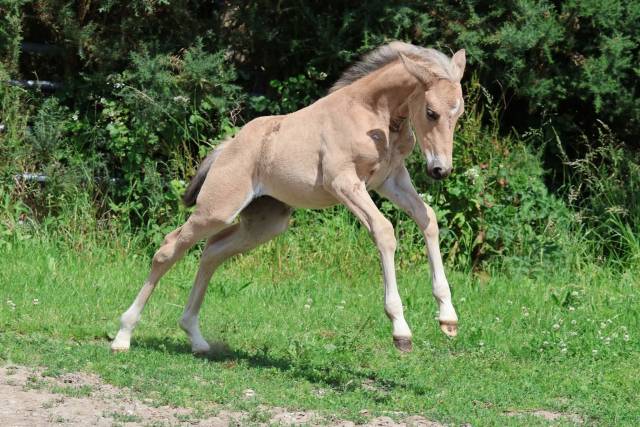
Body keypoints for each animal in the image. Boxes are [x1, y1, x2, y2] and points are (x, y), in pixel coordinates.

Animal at [111, 41, 466, 354]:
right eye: (431, 112)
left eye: (458, 113)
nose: (440, 169)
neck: (372, 113)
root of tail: (227, 147)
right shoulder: (344, 183)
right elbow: (384, 231)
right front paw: (401, 331)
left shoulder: (390, 180)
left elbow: (427, 218)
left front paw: (447, 317)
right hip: (217, 209)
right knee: (169, 248)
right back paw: (123, 336)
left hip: (265, 222)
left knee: (212, 252)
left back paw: (195, 338)